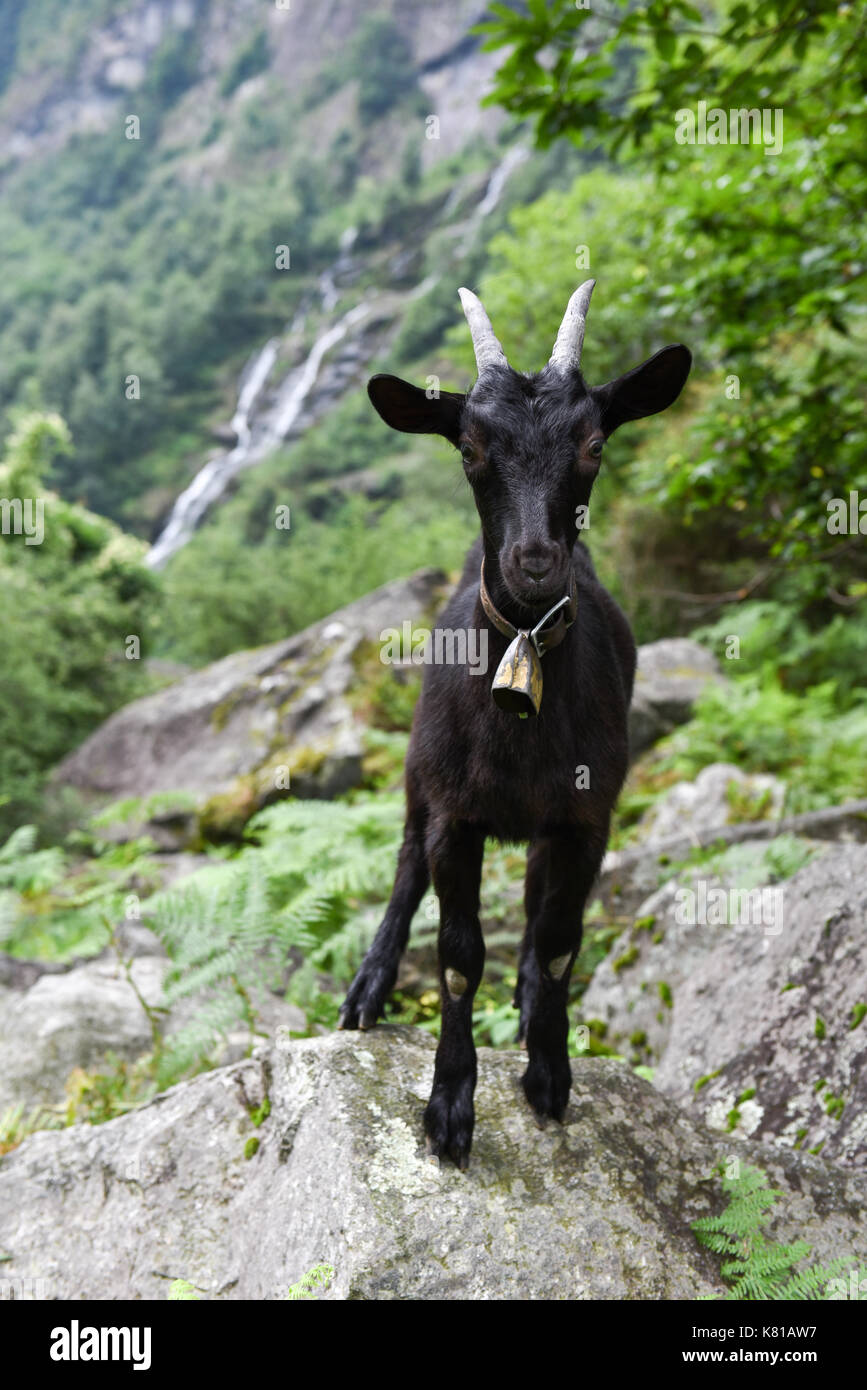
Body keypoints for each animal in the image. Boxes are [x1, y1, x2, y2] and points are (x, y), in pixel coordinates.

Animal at [339, 282, 691, 1167]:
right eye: (469, 446)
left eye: (594, 442)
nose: (533, 562)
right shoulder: (453, 816)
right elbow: (459, 958)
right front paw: (449, 1106)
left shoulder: (585, 818)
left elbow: (559, 941)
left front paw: (548, 1072)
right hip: (416, 777)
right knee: (403, 866)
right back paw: (366, 988)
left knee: (535, 914)